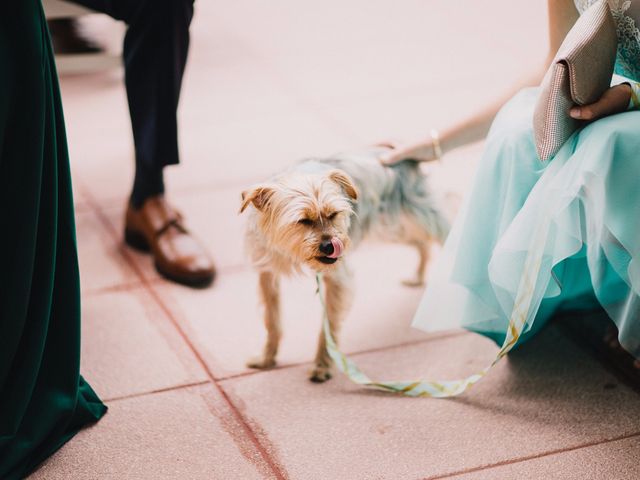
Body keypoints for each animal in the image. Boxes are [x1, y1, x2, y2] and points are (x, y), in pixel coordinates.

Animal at [239, 147, 450, 382]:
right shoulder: (267, 273)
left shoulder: (338, 278)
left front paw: (322, 365)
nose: (331, 245)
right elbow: (272, 320)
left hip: (423, 217)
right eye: (303, 221)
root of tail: (405, 158)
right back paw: (418, 277)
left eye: (333, 214)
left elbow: (328, 327)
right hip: (393, 229)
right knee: (422, 243)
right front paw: (267, 358)